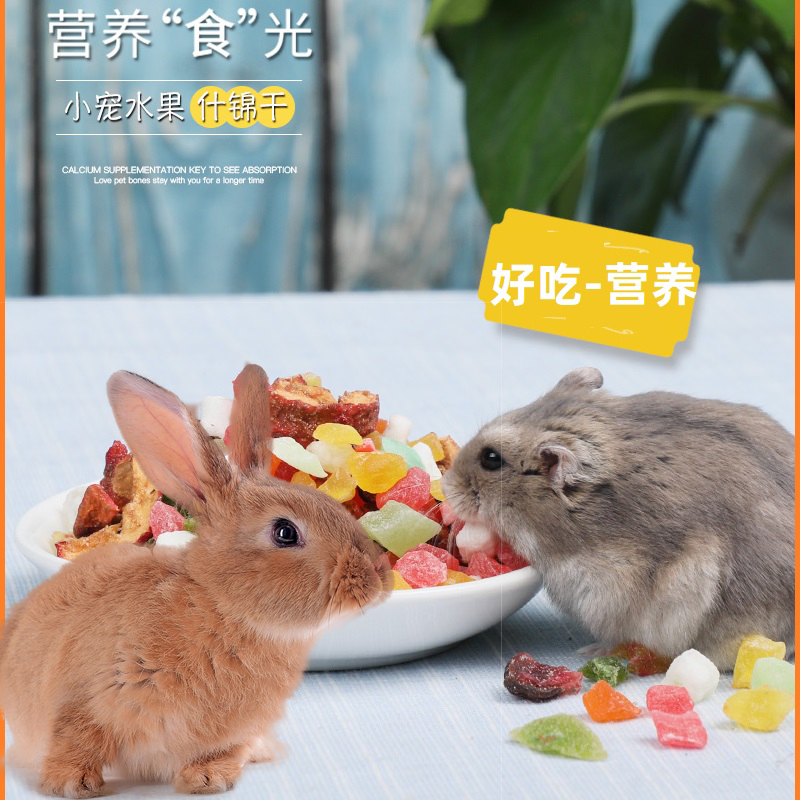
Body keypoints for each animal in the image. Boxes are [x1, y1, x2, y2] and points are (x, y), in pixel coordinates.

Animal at [0, 364, 389, 797]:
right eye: (285, 533)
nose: (377, 580)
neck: (223, 607)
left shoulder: (235, 732)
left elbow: (222, 752)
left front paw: (206, 779)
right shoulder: (82, 696)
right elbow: (76, 737)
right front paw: (71, 784)